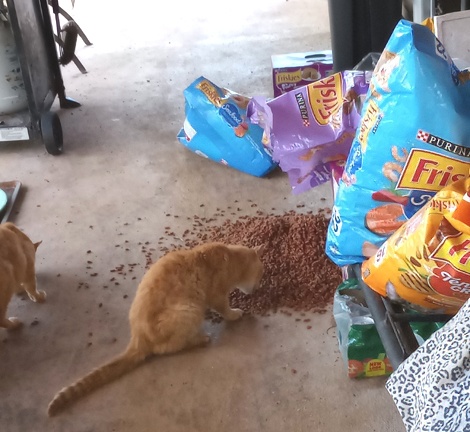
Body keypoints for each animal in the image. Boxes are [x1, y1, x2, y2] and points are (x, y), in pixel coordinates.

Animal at [49, 243, 266, 416]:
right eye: (260, 274)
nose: (258, 287)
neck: (230, 256)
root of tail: (137, 337)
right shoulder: (217, 296)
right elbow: (226, 309)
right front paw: (235, 313)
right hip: (190, 309)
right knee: (168, 348)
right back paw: (199, 339)